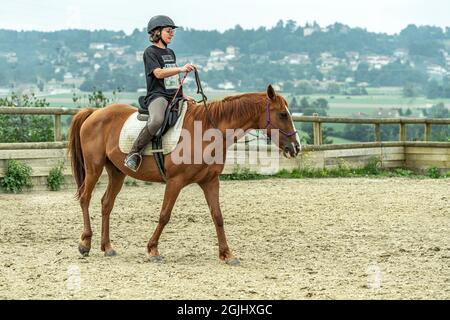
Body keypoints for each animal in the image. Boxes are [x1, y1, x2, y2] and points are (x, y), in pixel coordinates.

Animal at [67, 85, 298, 264]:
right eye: (283, 114)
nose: (296, 147)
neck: (206, 131)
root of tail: (94, 112)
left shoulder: (210, 181)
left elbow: (218, 216)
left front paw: (227, 254)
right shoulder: (175, 181)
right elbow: (164, 215)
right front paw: (152, 250)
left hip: (117, 172)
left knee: (106, 203)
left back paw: (107, 247)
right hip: (94, 168)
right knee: (85, 198)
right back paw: (85, 243)